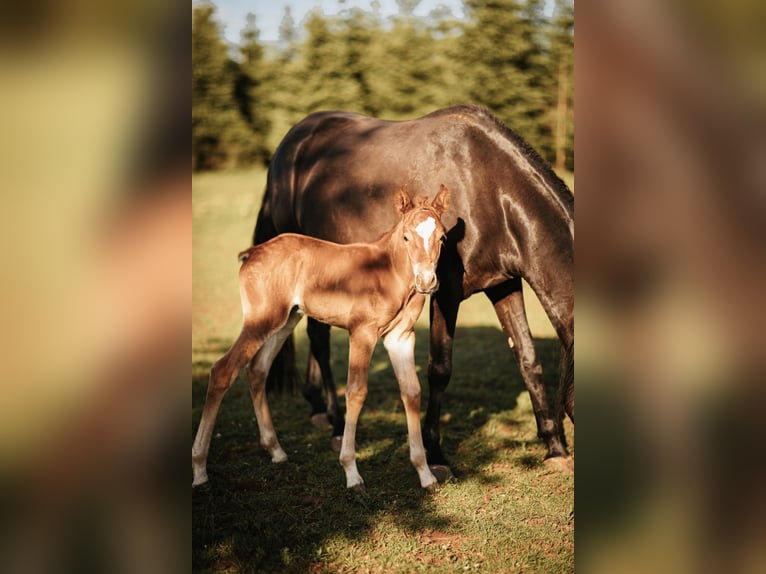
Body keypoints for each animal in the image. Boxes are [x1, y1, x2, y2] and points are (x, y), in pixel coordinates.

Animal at [192, 184, 450, 490]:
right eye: (407, 236)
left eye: (442, 237)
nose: (427, 281)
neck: (388, 271)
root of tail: (252, 252)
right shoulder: (361, 332)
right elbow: (356, 392)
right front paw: (351, 472)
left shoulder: (401, 338)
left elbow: (412, 392)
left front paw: (425, 473)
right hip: (261, 320)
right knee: (223, 370)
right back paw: (199, 469)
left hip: (285, 321)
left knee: (257, 369)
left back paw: (276, 450)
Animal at [254, 105, 574, 475]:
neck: (491, 189)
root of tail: (287, 145)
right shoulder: (445, 293)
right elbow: (439, 370)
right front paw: (435, 455)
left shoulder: (504, 285)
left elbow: (528, 359)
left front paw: (555, 448)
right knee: (319, 339)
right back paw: (335, 423)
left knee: (317, 333)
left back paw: (319, 408)